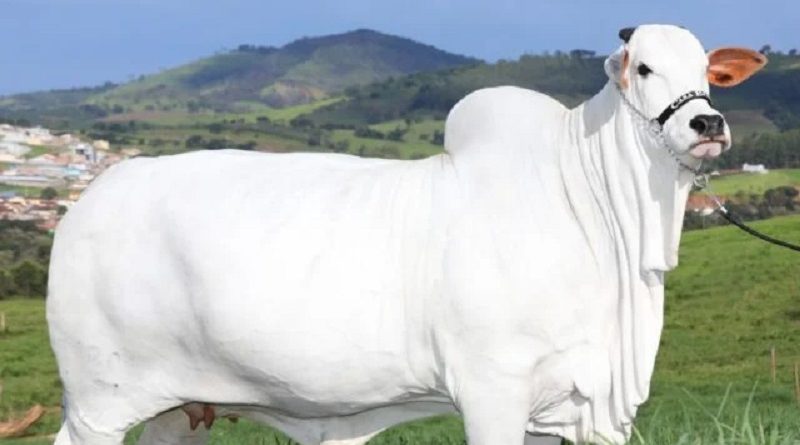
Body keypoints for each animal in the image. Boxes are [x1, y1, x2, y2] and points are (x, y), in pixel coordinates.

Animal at [47, 24, 766, 445]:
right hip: (98, 403)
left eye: (708, 71)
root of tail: (91, 200)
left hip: (180, 407)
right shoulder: (493, 391)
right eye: (642, 68)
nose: (708, 125)